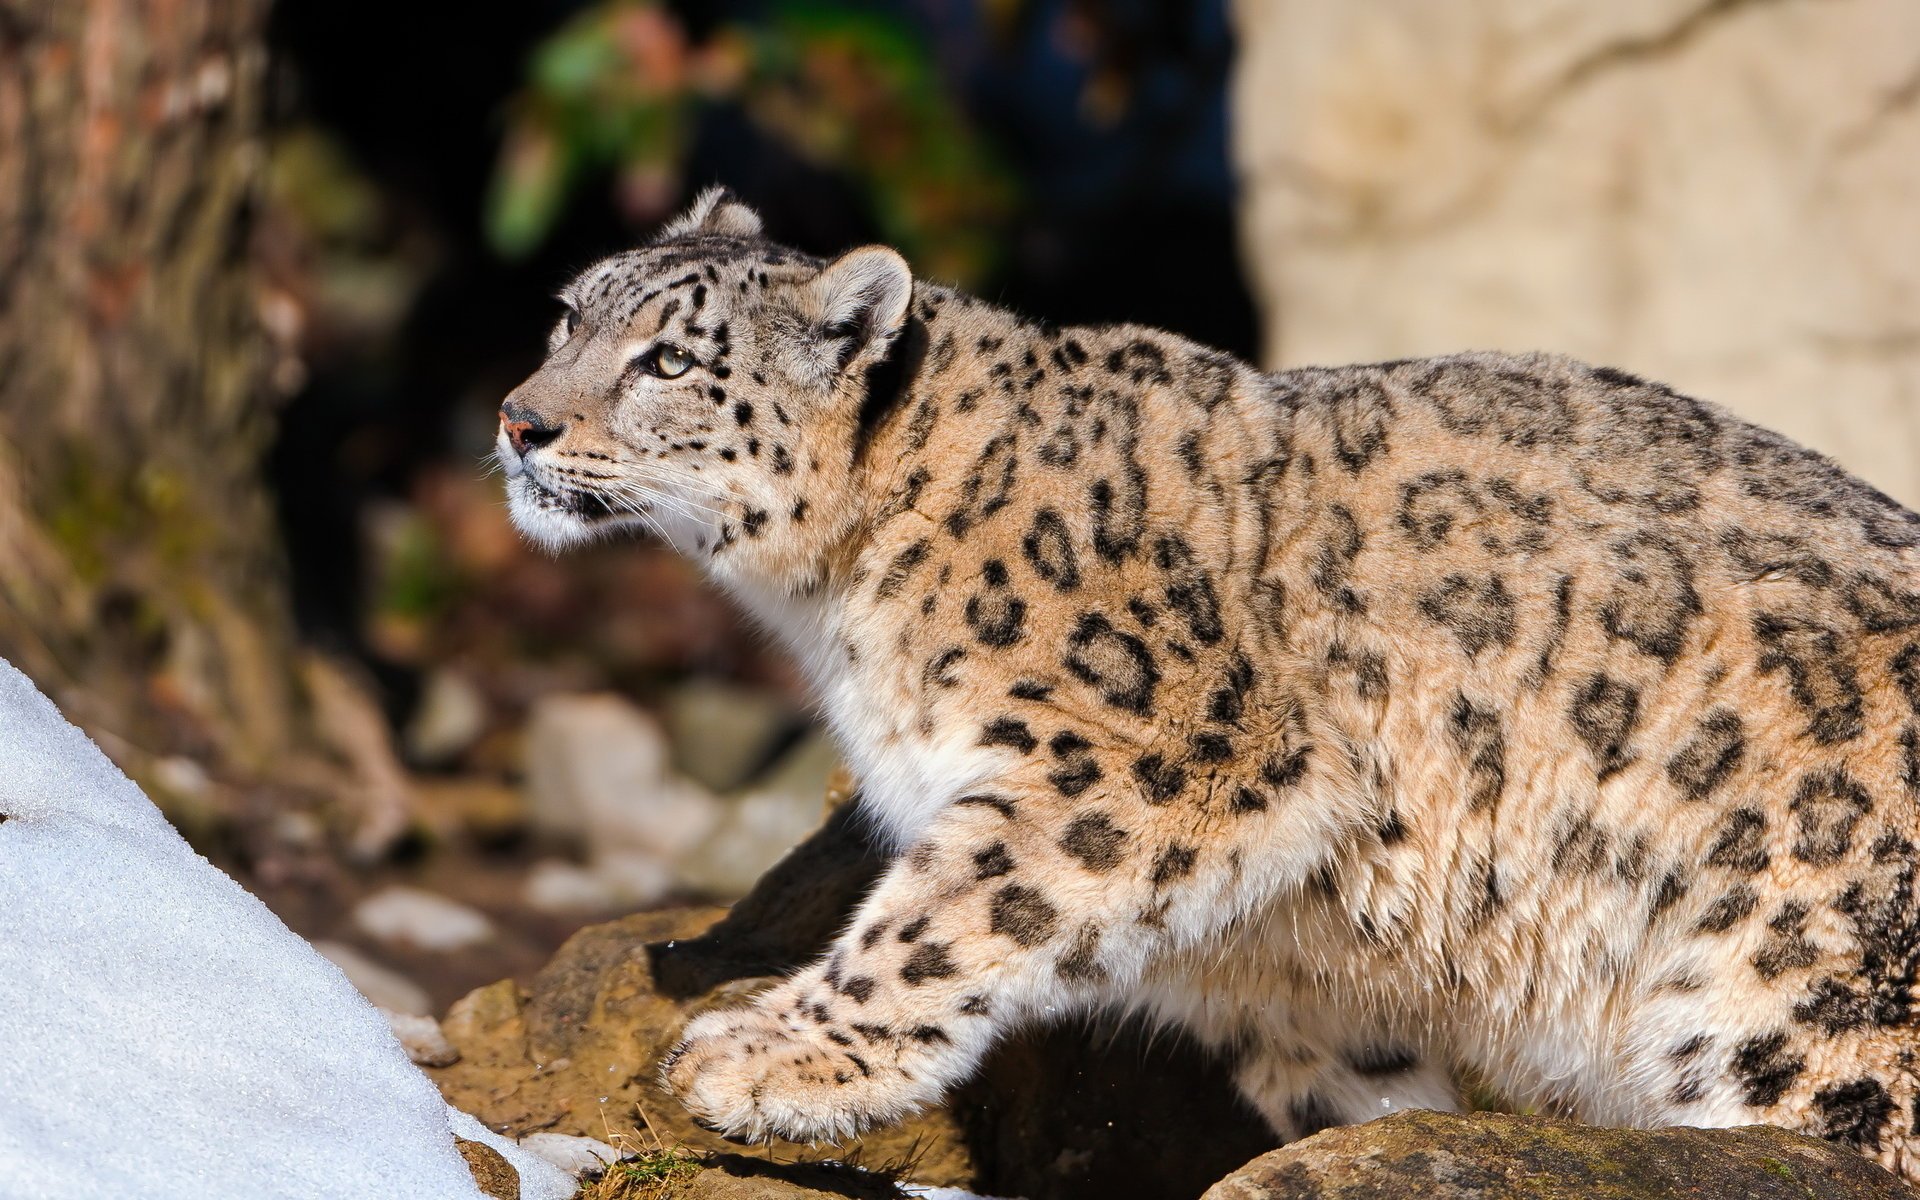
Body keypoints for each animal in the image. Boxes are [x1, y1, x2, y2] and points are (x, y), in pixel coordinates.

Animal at [495, 186, 1920, 1180]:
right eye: (568, 314)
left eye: (670, 362)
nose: (518, 420)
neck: (834, 609)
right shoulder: (1283, 970)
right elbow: (1348, 1079)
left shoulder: (1161, 757)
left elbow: (944, 919)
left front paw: (766, 1058)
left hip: (1811, 1000)